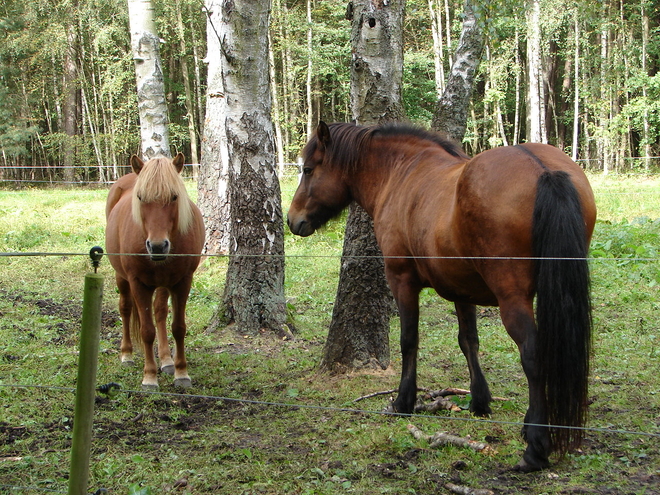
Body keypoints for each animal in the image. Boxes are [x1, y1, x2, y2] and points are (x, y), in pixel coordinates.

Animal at [104, 154, 204, 392]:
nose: (158, 246)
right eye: (140, 197)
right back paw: (127, 354)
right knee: (125, 309)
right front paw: (149, 377)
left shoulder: (182, 282)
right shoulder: (138, 283)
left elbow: (178, 327)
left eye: (174, 196)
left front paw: (181, 372)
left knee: (160, 313)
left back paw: (166, 360)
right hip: (122, 278)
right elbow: (147, 331)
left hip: (163, 284)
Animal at [288, 122, 600, 470]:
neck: (400, 172)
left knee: (532, 356)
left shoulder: (402, 281)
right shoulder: (462, 289)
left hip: (513, 299)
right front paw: (480, 402)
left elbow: (409, 340)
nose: (293, 219)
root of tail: (543, 168)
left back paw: (536, 447)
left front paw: (403, 401)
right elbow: (469, 342)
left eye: (309, 169)